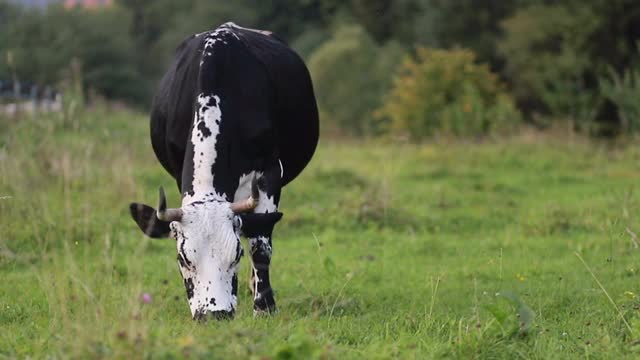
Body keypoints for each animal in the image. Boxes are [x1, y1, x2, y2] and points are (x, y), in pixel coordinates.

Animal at [129, 22, 318, 320]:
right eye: (183, 258)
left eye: (236, 254)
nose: (215, 314)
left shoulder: (270, 170)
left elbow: (260, 243)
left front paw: (264, 306)